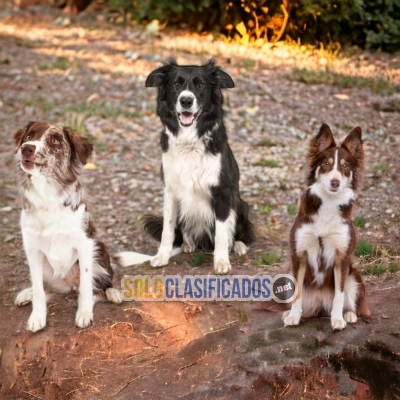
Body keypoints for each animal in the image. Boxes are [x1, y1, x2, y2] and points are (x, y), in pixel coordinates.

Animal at [13, 121, 122, 332]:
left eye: (55, 140)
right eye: (29, 136)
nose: (26, 148)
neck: (47, 194)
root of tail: (70, 285)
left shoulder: (85, 243)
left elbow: (87, 286)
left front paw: (84, 313)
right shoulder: (32, 248)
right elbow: (38, 289)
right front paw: (37, 316)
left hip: (99, 246)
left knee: (102, 284)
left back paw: (113, 293)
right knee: (47, 288)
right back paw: (26, 294)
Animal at [120, 59, 255, 274]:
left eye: (200, 86)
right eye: (176, 84)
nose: (186, 101)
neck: (189, 141)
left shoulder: (222, 192)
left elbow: (222, 231)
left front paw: (221, 261)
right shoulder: (170, 190)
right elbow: (167, 228)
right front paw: (162, 256)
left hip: (240, 204)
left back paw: (239, 245)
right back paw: (187, 244)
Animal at [282, 123, 370, 330]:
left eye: (345, 166)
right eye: (326, 164)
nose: (335, 182)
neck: (329, 203)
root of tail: (321, 305)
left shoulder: (342, 259)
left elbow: (339, 294)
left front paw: (337, 319)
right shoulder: (299, 256)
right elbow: (297, 294)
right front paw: (293, 316)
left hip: (354, 275)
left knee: (350, 301)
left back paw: (349, 314)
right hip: (289, 273)